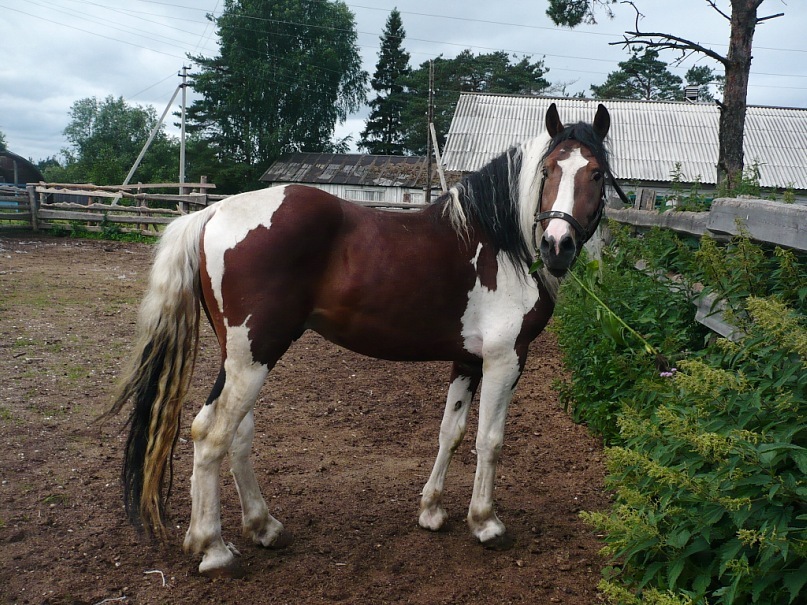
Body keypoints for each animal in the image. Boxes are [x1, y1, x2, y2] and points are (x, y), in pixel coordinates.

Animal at [107, 102, 612, 576]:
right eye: (548, 171)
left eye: (596, 173)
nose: (557, 245)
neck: (500, 242)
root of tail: (214, 210)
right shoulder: (505, 359)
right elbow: (490, 440)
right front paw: (486, 523)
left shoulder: (468, 361)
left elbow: (450, 432)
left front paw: (431, 511)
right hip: (253, 357)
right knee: (213, 436)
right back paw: (213, 549)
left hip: (241, 357)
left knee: (231, 432)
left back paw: (263, 527)